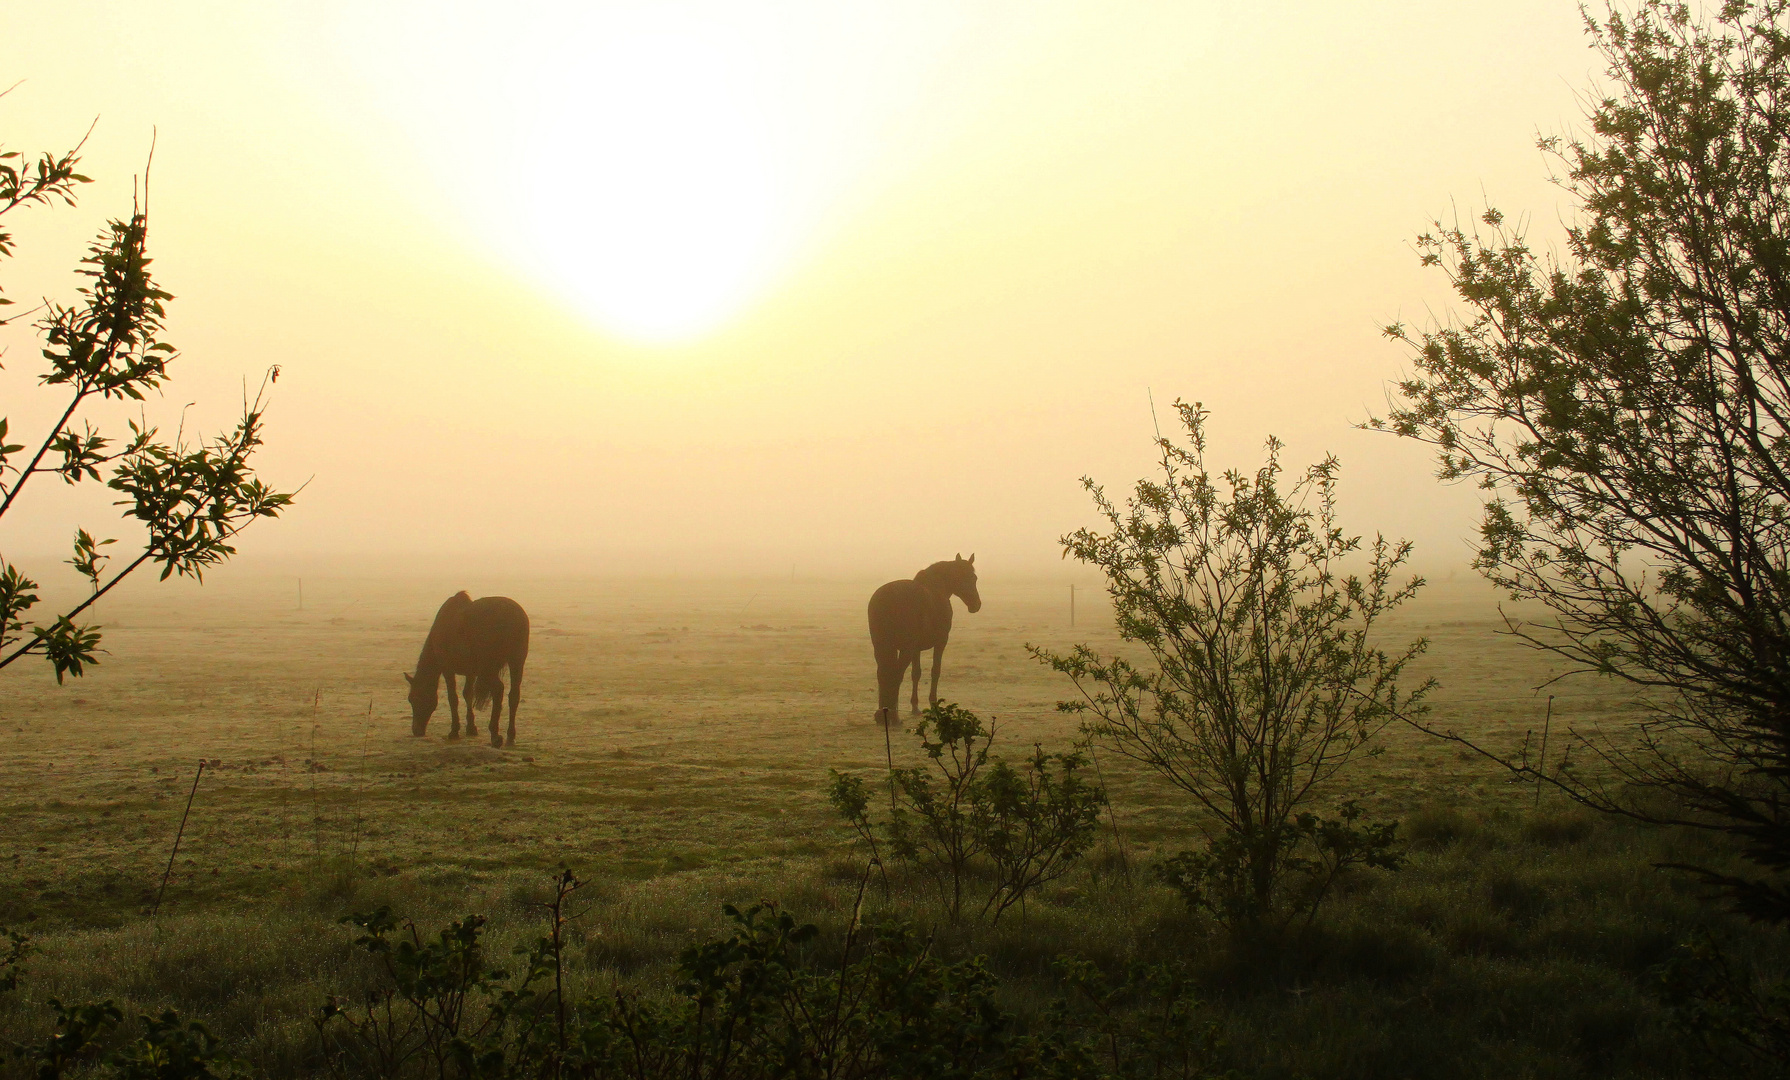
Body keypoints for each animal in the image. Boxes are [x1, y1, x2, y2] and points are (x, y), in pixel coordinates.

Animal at [409, 591, 529, 752]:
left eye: (413, 699)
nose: (416, 731)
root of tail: (513, 616)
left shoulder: (447, 669)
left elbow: (453, 698)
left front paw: (454, 731)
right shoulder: (471, 672)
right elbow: (468, 694)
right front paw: (471, 728)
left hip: (489, 666)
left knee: (498, 689)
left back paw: (495, 735)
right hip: (516, 661)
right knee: (514, 695)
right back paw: (510, 736)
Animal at [866, 558, 980, 727]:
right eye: (971, 578)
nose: (976, 605)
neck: (937, 589)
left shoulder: (916, 649)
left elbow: (916, 673)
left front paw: (915, 706)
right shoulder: (940, 642)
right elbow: (935, 671)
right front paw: (933, 705)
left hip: (882, 647)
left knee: (883, 674)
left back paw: (882, 714)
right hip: (904, 649)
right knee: (896, 675)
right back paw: (894, 717)